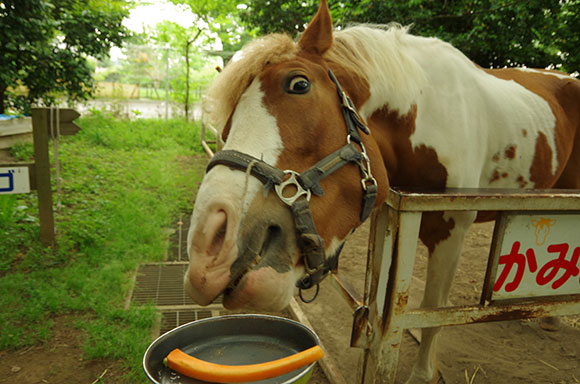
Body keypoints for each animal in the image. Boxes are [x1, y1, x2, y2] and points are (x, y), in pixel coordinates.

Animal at [185, 1, 580, 382]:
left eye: (298, 85)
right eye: (228, 120)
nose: (209, 247)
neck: (430, 116)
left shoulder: (451, 228)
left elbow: (432, 313)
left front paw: (423, 375)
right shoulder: (392, 217)